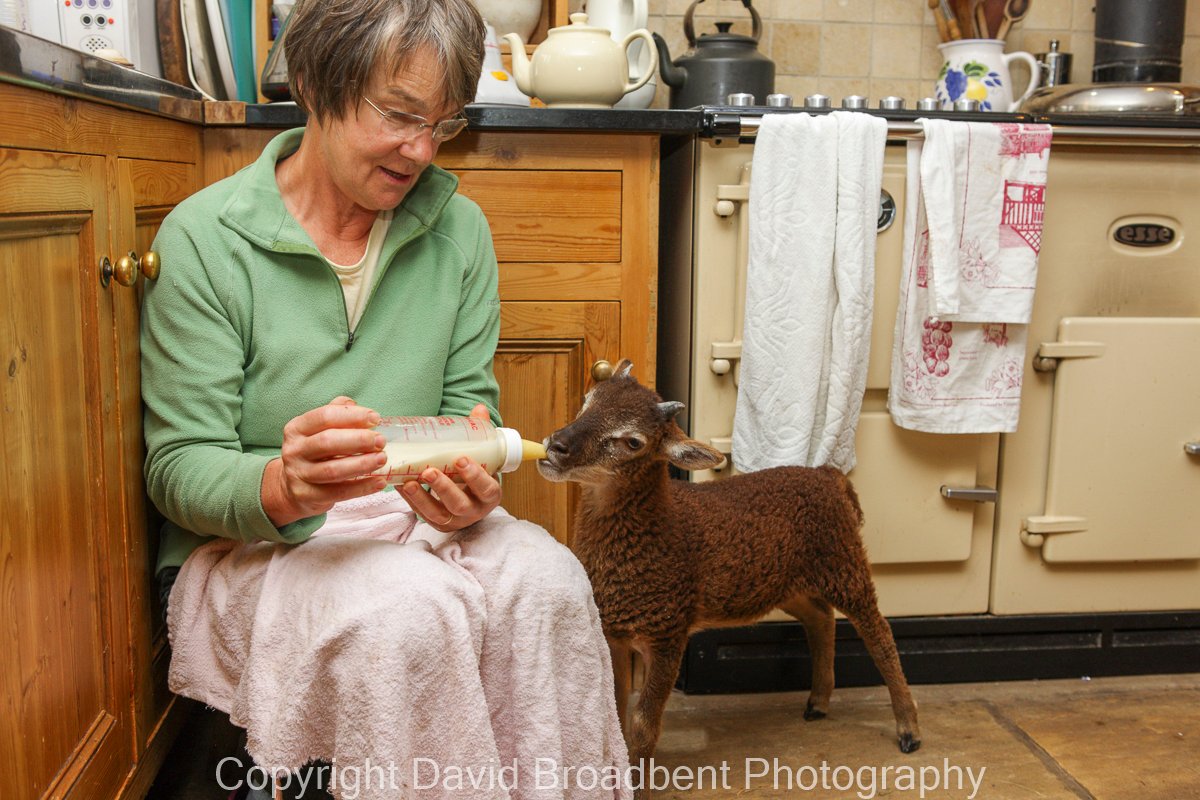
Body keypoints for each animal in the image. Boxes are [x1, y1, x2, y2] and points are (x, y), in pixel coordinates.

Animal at [537, 360, 921, 774]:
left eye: (634, 442)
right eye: (587, 400)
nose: (556, 445)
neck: (660, 528)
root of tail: (828, 476)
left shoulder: (669, 633)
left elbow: (642, 725)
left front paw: (636, 778)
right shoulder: (613, 633)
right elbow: (618, 712)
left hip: (845, 564)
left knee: (880, 636)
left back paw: (909, 729)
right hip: (783, 582)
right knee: (820, 617)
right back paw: (818, 702)